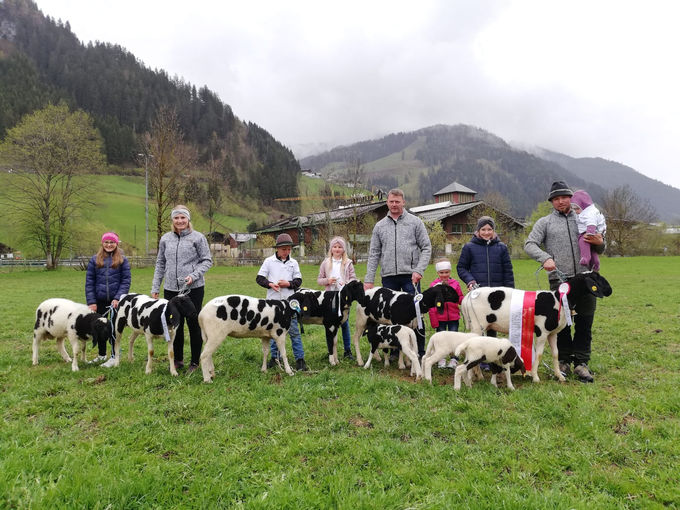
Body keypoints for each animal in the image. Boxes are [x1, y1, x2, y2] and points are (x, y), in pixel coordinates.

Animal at [460, 270, 612, 382]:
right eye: (597, 278)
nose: (610, 290)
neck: (559, 299)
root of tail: (468, 296)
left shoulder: (553, 333)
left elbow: (556, 354)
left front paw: (559, 376)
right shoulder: (542, 331)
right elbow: (538, 354)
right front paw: (535, 377)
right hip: (477, 326)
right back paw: (478, 376)